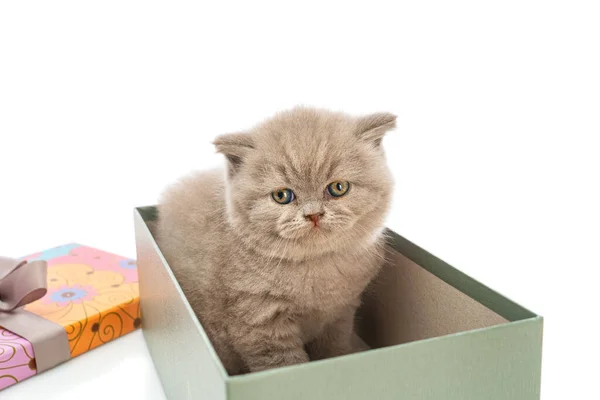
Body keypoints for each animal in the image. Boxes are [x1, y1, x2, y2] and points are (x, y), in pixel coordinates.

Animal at [155, 106, 396, 376]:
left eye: (338, 188)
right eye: (282, 196)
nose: (313, 214)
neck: (315, 271)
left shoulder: (341, 313)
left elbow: (334, 348)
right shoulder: (260, 324)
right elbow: (285, 364)